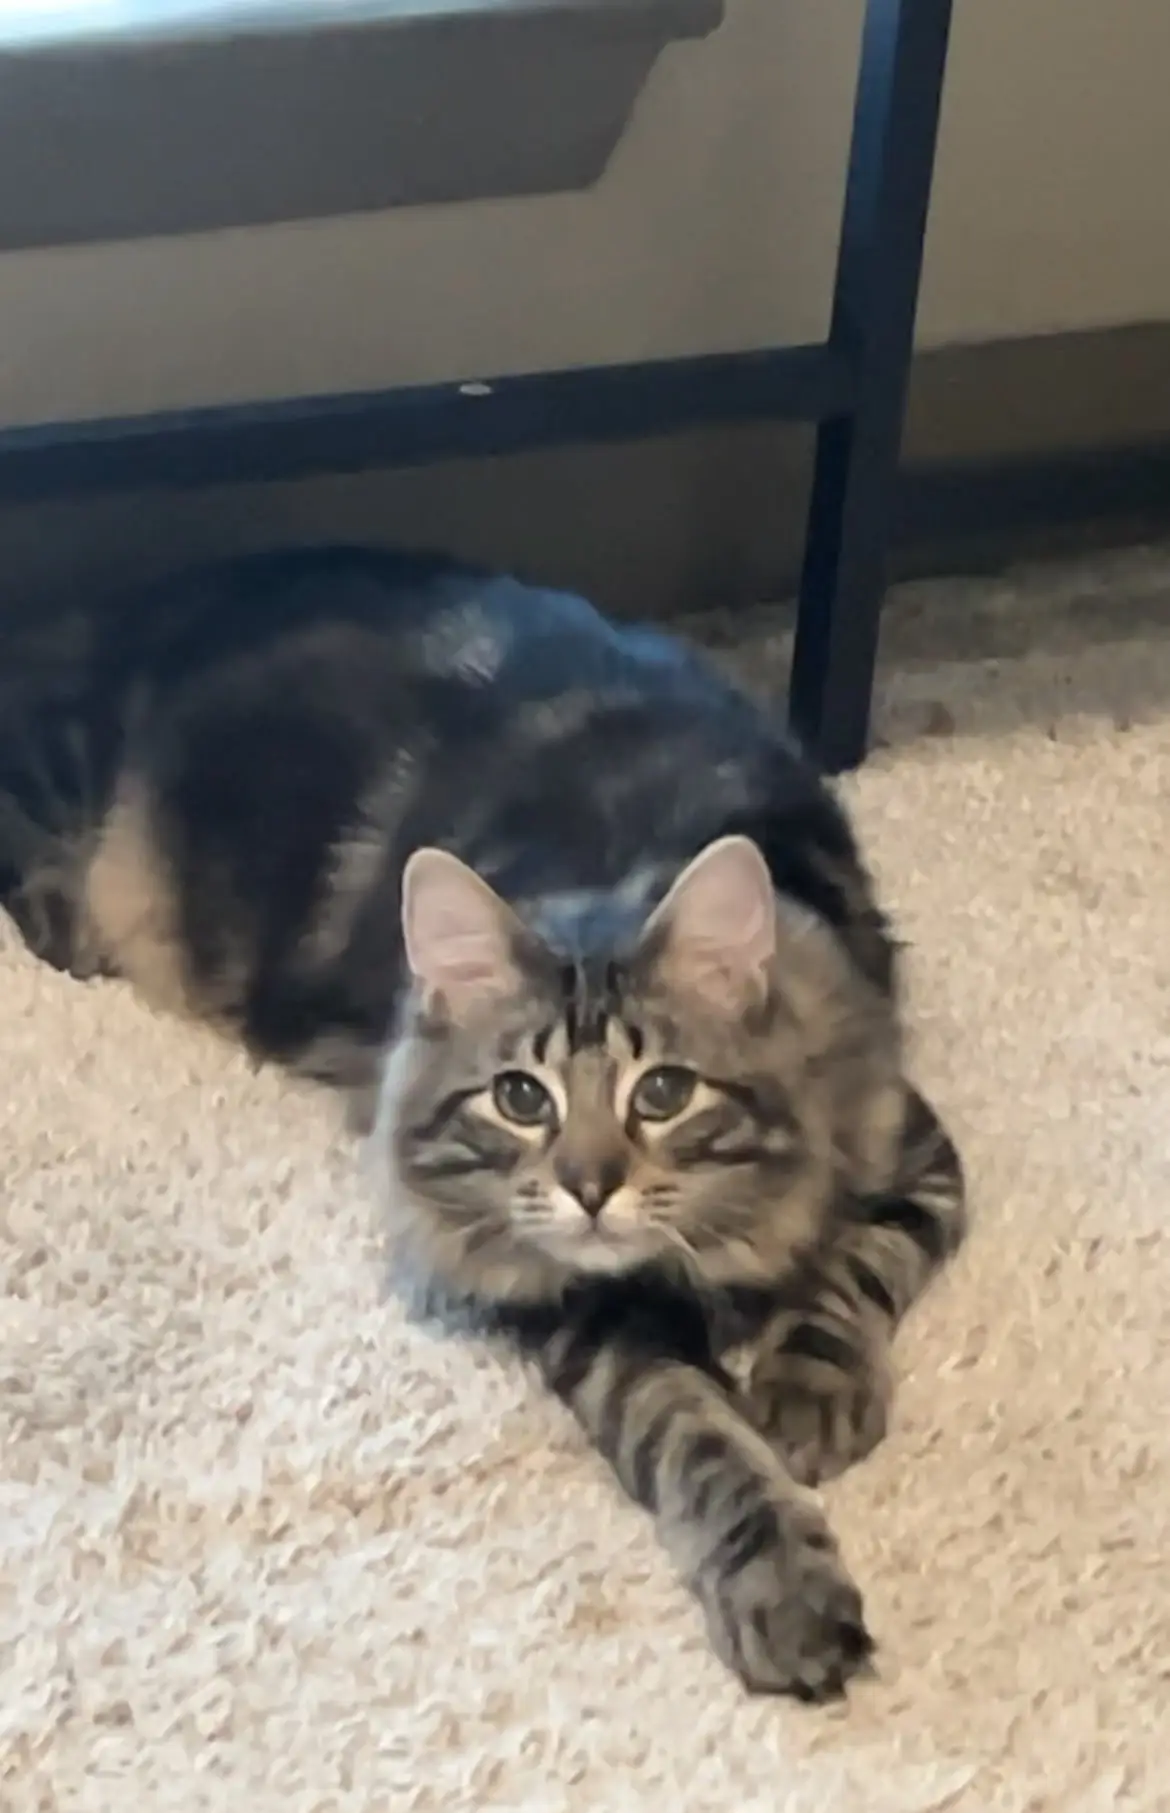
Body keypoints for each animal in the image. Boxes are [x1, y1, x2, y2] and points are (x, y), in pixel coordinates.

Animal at [0, 544, 965, 1698]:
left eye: (661, 1092)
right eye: (521, 1097)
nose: (590, 1187)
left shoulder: (915, 1153)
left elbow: (853, 1272)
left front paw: (810, 1384)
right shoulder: (584, 1309)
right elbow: (697, 1437)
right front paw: (781, 1581)